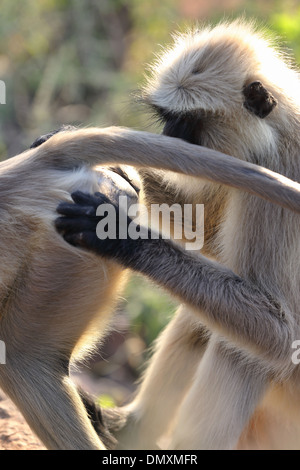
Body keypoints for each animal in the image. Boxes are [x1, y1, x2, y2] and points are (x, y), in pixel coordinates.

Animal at [55, 20, 300, 450]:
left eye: (186, 121)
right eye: (165, 117)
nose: (169, 134)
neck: (279, 128)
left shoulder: (278, 170)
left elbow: (281, 330)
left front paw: (118, 234)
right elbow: (207, 234)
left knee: (247, 348)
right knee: (203, 320)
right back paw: (126, 430)